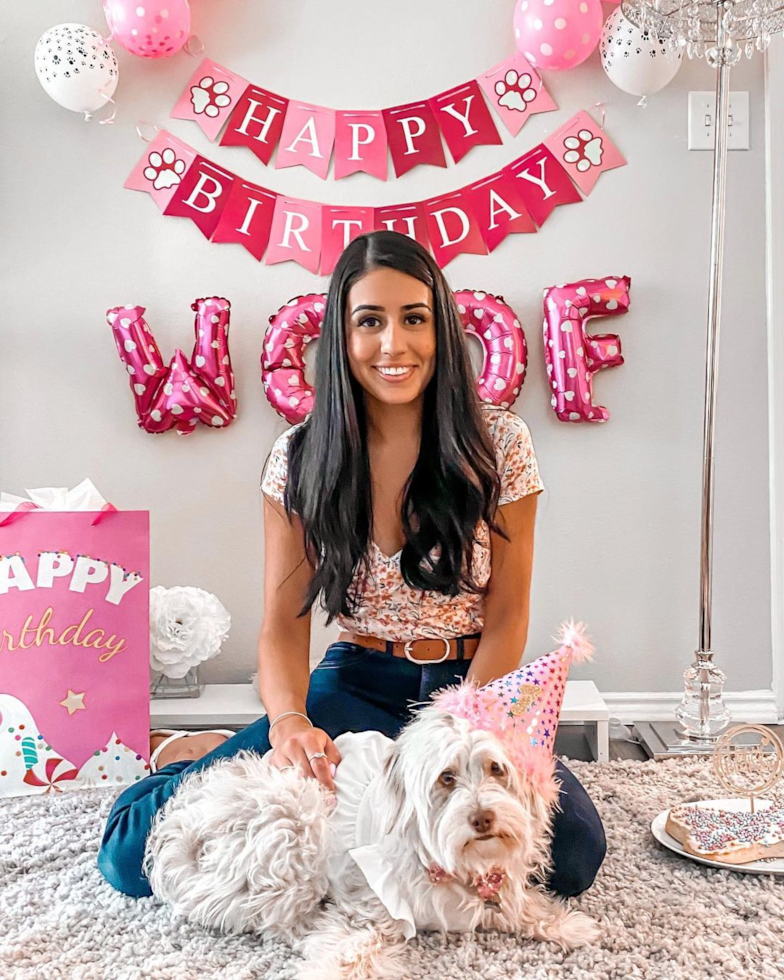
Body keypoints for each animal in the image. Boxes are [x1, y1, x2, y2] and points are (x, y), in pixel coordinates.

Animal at [145, 704, 600, 980]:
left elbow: (521, 906)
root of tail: (182, 829)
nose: (482, 818)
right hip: (296, 821)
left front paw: (567, 924)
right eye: (446, 777)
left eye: (496, 769)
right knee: (281, 921)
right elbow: (352, 947)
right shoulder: (370, 902)